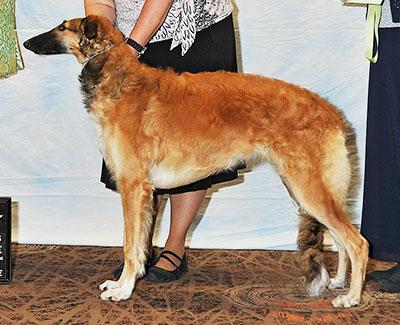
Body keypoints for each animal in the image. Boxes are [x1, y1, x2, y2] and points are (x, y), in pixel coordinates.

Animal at [24, 15, 368, 306]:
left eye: (62, 26)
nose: (27, 43)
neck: (119, 78)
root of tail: (331, 112)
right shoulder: (144, 191)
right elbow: (139, 246)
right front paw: (123, 283)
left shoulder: (133, 186)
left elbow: (129, 246)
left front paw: (123, 290)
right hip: (308, 189)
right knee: (341, 240)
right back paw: (338, 282)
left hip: (309, 189)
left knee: (357, 242)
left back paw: (351, 298)